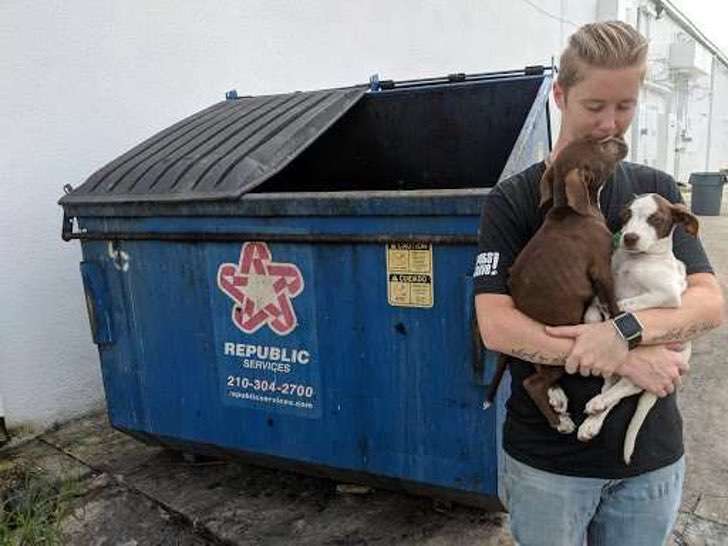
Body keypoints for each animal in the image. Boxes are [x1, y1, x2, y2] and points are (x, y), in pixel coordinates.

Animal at [484, 134, 624, 432]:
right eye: (601, 145)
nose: (620, 139)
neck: (571, 209)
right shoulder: (601, 268)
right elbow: (612, 300)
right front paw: (619, 317)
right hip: (556, 352)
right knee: (532, 384)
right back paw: (559, 422)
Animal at [576, 193, 696, 462]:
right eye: (626, 215)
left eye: (656, 219)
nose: (630, 237)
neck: (635, 260)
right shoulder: (605, 282)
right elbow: (593, 306)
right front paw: (593, 318)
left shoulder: (667, 294)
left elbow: (625, 304)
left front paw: (612, 312)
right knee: (613, 385)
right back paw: (593, 418)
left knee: (627, 387)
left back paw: (598, 404)